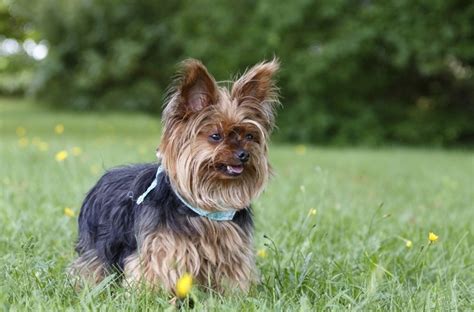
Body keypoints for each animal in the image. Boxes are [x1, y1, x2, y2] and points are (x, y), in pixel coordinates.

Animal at [68, 58, 280, 294]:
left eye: (249, 136)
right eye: (216, 136)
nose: (244, 155)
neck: (205, 207)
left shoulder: (231, 250)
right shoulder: (164, 248)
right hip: (98, 243)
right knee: (93, 264)